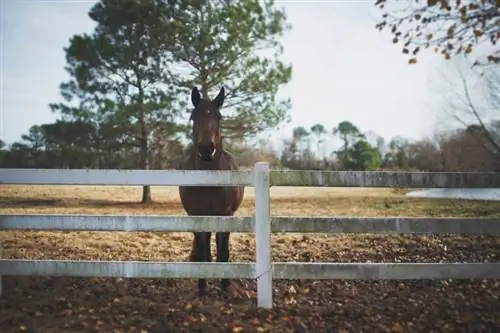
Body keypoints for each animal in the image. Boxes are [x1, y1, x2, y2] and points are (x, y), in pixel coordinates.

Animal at [179, 85, 245, 296]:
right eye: (193, 117)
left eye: (219, 116)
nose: (206, 149)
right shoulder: (196, 215)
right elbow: (202, 251)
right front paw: (201, 288)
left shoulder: (226, 215)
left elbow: (223, 250)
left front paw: (225, 285)